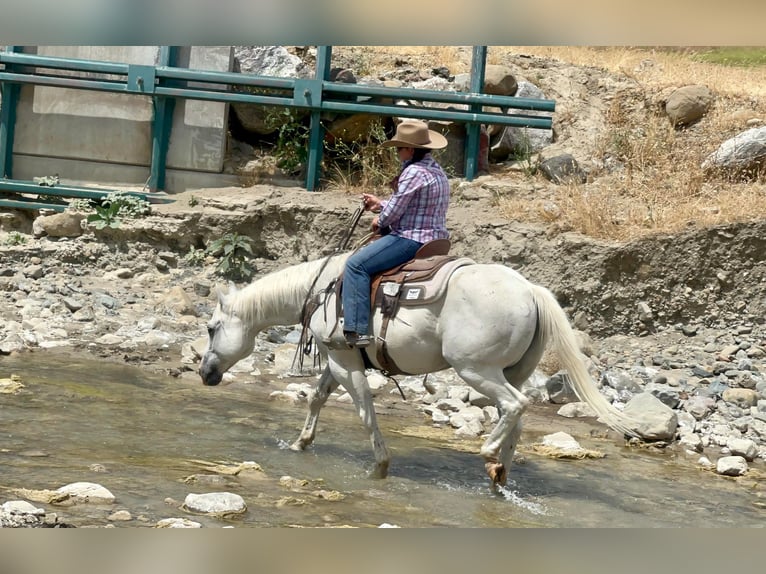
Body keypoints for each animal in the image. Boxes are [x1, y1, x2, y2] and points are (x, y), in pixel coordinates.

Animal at [200, 250, 640, 488]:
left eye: (211, 327)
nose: (205, 373)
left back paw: (488, 453)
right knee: (515, 418)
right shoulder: (340, 359)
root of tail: (530, 290)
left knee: (515, 406)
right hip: (510, 370)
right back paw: (499, 473)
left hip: (476, 369)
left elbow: (364, 409)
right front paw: (300, 444)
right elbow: (318, 398)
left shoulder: (345, 364)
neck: (322, 289)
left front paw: (380, 466)